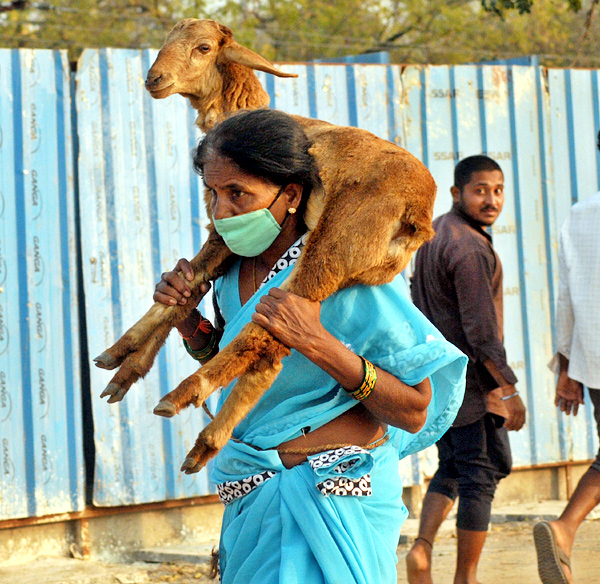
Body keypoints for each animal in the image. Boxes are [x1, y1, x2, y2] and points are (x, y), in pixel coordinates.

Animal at [97, 19, 436, 474]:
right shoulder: (228, 237)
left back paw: (185, 396)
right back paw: (206, 441)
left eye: (204, 47)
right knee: (272, 350)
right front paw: (123, 369)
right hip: (349, 267)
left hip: (333, 245)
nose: (155, 79)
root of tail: (418, 215)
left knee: (260, 335)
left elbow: (184, 288)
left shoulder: (220, 228)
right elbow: (186, 289)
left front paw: (117, 354)